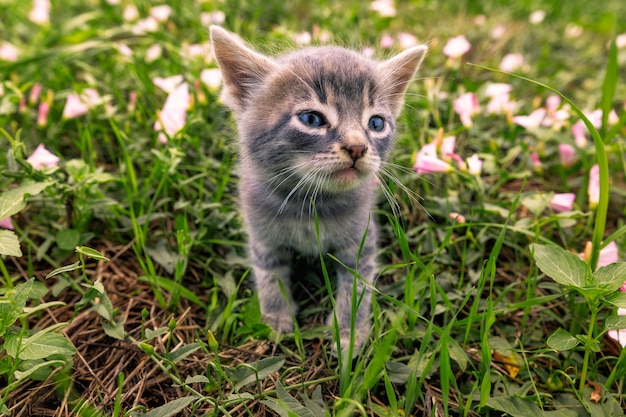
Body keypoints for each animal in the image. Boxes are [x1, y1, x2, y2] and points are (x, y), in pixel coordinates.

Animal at [210, 26, 424, 348]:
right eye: (311, 119)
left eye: (376, 123)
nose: (357, 147)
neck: (310, 204)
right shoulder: (261, 235)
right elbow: (269, 273)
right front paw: (276, 316)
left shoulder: (362, 241)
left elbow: (357, 287)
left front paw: (349, 331)